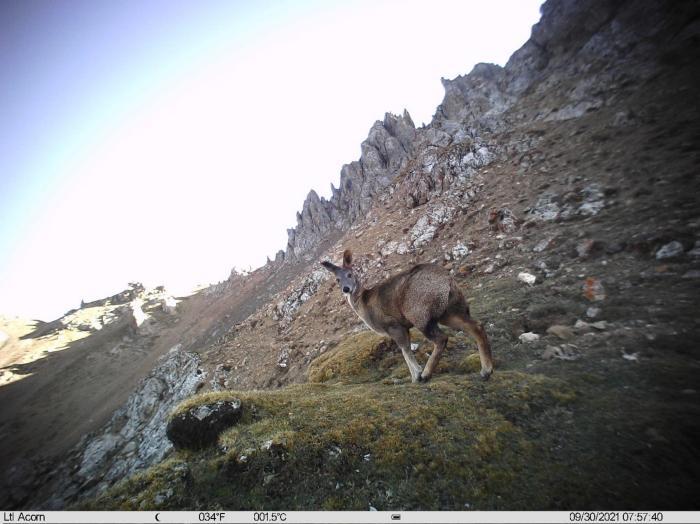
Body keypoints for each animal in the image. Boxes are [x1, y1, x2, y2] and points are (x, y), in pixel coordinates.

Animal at [320, 248, 494, 382]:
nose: (346, 289)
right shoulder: (404, 326)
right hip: (449, 309)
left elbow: (405, 349)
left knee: (441, 338)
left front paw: (416, 375)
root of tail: (447, 280)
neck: (364, 302)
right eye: (337, 279)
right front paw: (415, 374)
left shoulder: (393, 324)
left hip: (419, 313)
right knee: (476, 326)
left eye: (350, 274)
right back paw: (486, 370)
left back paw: (426, 374)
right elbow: (407, 349)